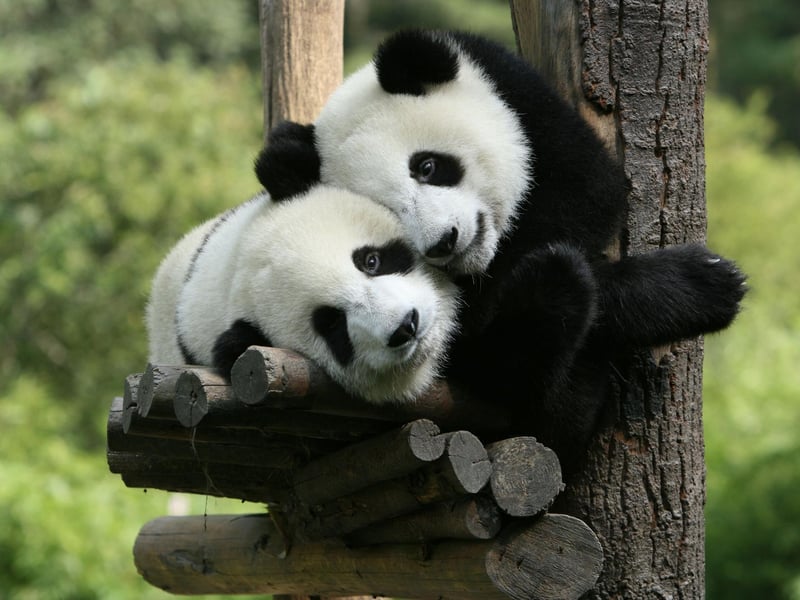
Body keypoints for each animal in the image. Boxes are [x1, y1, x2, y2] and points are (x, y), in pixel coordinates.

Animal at [254, 30, 747, 471]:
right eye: (390, 211)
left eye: (427, 166)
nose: (444, 241)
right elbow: (484, 333)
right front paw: (703, 285)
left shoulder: (521, 100)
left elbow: (589, 191)